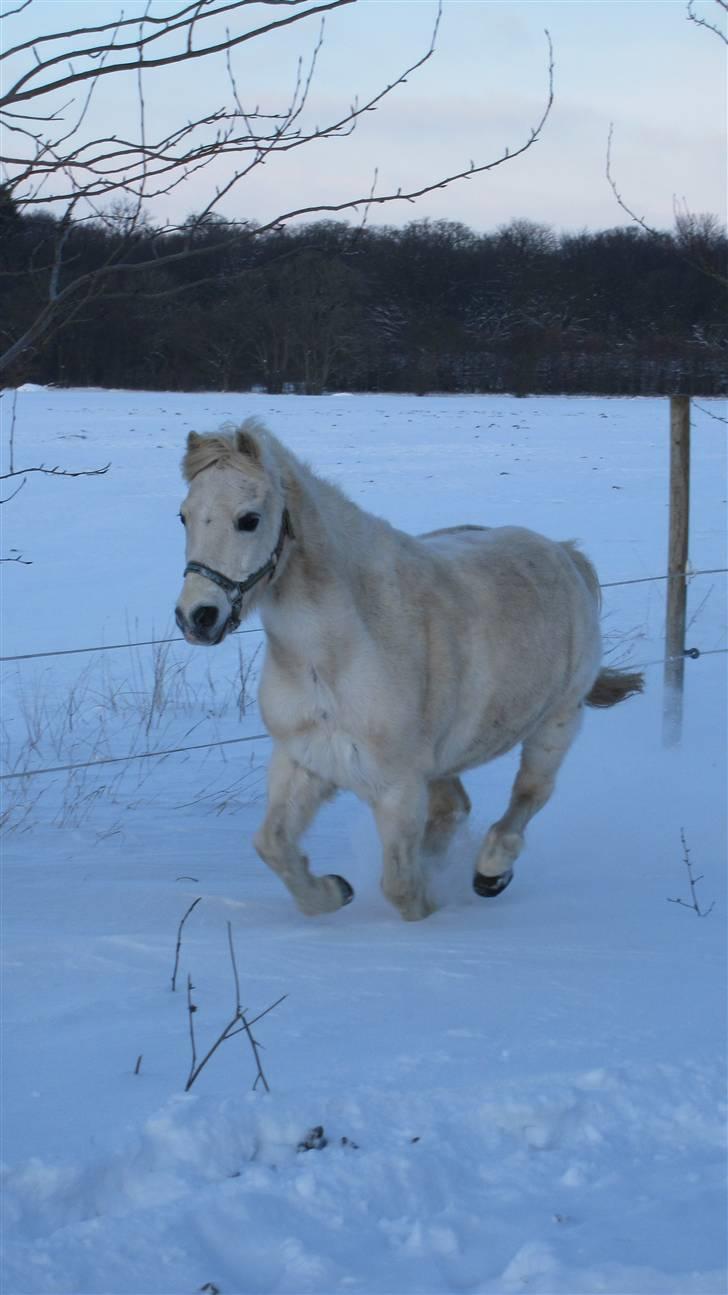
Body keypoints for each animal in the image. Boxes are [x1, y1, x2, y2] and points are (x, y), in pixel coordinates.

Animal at [176, 416, 639, 922]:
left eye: (249, 519)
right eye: (184, 515)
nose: (196, 617)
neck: (337, 657)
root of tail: (564, 552)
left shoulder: (397, 787)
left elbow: (400, 887)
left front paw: (429, 910)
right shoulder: (303, 762)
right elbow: (272, 845)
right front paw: (333, 892)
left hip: (556, 722)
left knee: (529, 795)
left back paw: (490, 873)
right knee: (455, 809)